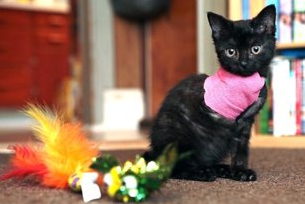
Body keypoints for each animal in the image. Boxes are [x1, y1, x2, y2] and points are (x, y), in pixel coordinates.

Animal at [142, 5, 276, 182]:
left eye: (256, 49)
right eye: (231, 52)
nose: (243, 63)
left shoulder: (247, 122)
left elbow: (240, 149)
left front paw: (240, 171)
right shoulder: (207, 105)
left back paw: (221, 169)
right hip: (176, 134)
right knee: (176, 166)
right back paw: (202, 172)